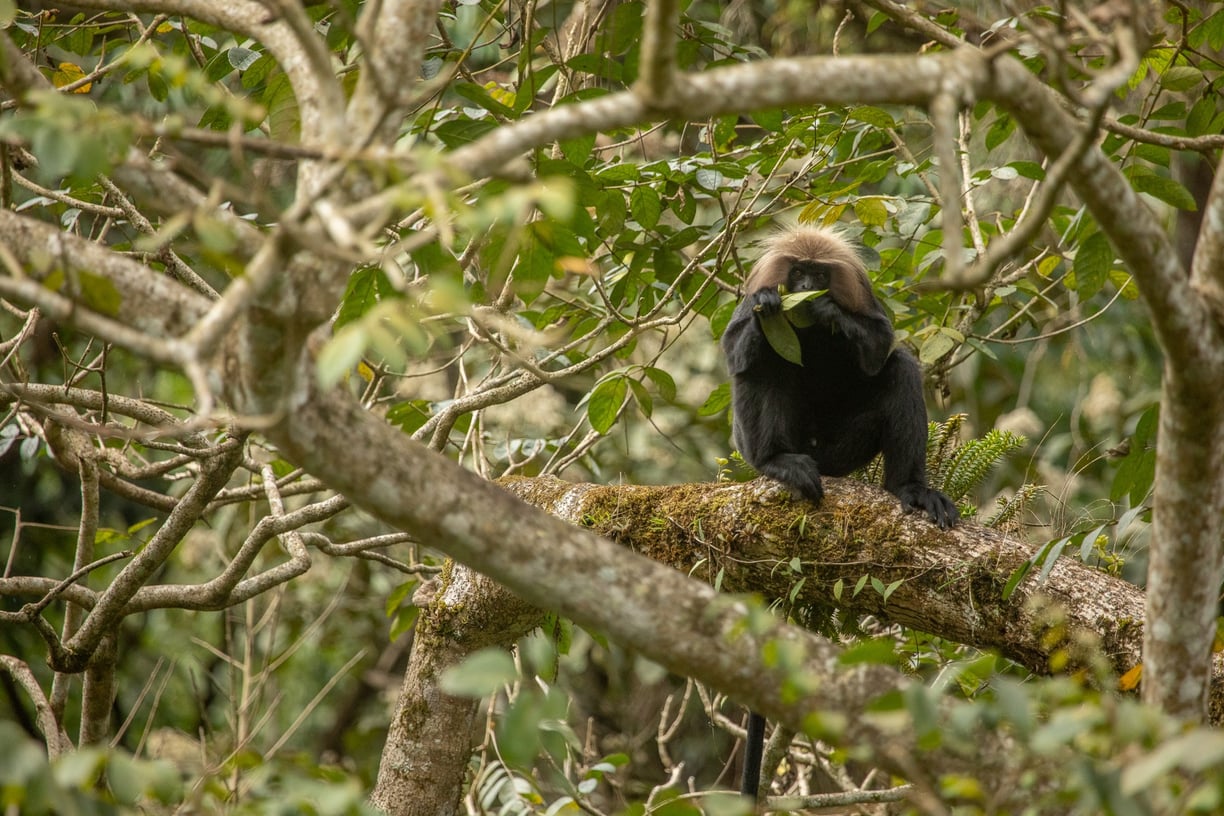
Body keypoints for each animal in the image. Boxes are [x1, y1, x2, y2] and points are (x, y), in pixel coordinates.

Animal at [719, 226, 959, 802]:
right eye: (797, 273)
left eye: (819, 275)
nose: (805, 287)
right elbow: (738, 349)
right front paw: (770, 304)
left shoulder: (862, 301)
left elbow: (877, 347)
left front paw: (828, 312)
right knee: (763, 366)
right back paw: (778, 463)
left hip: (842, 450)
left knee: (900, 367)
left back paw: (910, 489)